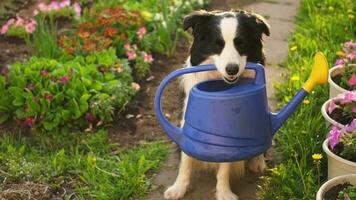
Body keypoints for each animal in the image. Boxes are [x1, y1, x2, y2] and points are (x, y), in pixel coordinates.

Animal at [164, 9, 270, 200]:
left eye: (241, 43)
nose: (232, 69)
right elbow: (185, 161)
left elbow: (224, 167)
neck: (219, 81)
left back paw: (257, 162)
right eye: (217, 44)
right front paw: (179, 188)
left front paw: (224, 193)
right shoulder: (187, 119)